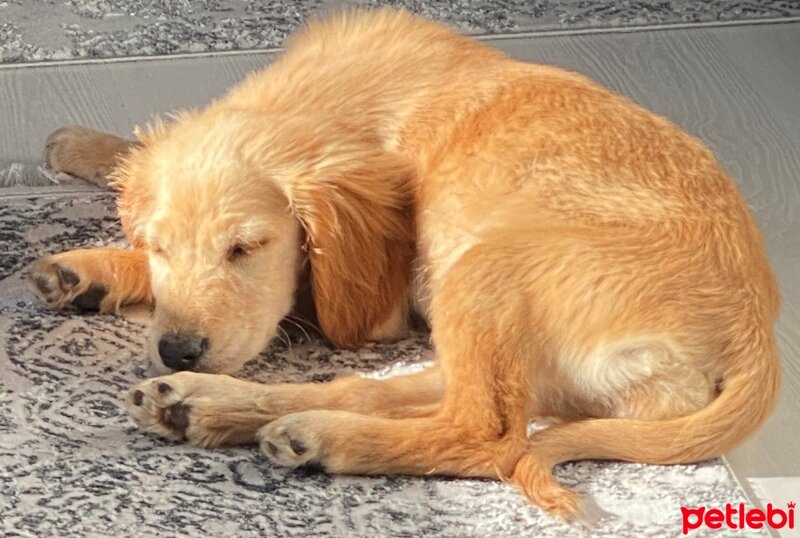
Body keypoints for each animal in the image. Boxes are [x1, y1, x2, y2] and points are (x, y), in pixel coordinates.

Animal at [28, 8, 780, 516]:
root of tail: (755, 333)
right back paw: (210, 406)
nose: (177, 350)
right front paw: (88, 172)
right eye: (161, 246)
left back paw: (306, 432)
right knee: (392, 391)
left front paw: (95, 258)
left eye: (246, 248)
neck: (330, 102)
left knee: (487, 433)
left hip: (485, 266)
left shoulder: (373, 303)